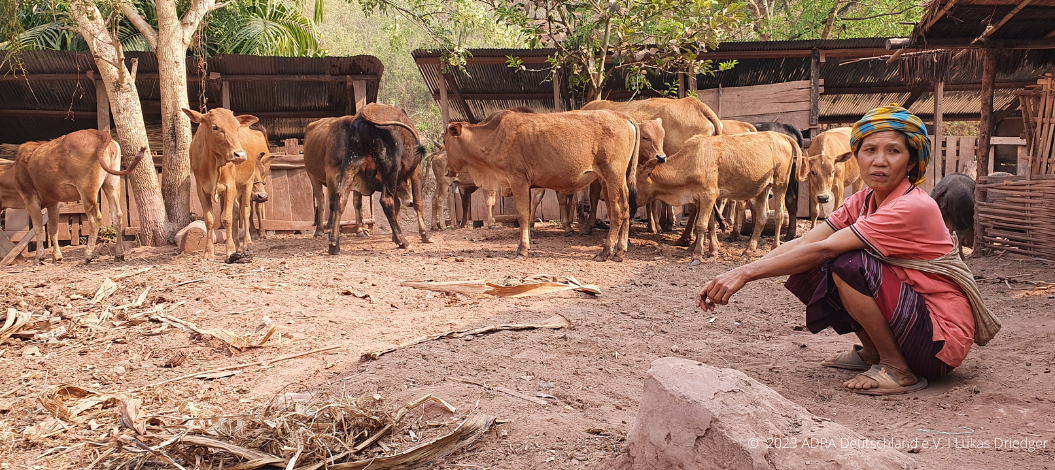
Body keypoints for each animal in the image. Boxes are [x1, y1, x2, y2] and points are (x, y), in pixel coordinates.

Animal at [14, 129, 144, 264]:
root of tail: (100, 133)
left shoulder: (29, 197)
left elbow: (38, 227)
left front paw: (39, 256)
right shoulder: (53, 202)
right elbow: (53, 228)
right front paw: (57, 256)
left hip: (87, 188)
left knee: (95, 218)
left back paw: (87, 256)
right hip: (112, 183)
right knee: (117, 215)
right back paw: (119, 254)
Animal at [184, 107, 269, 262]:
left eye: (237, 127)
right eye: (215, 127)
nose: (240, 155)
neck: (213, 164)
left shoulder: (229, 187)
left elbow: (227, 218)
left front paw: (229, 250)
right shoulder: (201, 189)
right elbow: (210, 219)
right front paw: (208, 252)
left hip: (246, 184)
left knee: (245, 211)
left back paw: (247, 243)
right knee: (236, 211)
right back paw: (237, 244)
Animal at [326, 103, 431, 255]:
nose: (408, 201)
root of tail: (365, 113)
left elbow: (398, 204)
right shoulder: (415, 171)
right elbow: (417, 202)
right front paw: (425, 235)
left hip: (351, 163)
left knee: (340, 197)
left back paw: (334, 244)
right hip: (390, 168)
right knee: (386, 201)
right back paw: (403, 241)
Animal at [444, 110, 642, 261]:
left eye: (445, 141)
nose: (447, 171)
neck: (493, 137)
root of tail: (625, 117)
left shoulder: (518, 180)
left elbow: (523, 215)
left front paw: (522, 249)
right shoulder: (528, 185)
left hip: (613, 175)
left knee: (617, 210)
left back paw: (606, 251)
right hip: (618, 178)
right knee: (626, 208)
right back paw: (620, 250)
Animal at [636, 131, 801, 264]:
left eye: (634, 181)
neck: (691, 161)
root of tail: (782, 136)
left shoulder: (708, 195)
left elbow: (701, 225)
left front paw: (697, 255)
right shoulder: (702, 198)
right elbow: (710, 224)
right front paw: (712, 251)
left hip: (780, 184)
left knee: (779, 215)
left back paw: (775, 247)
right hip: (763, 188)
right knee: (762, 217)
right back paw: (748, 251)